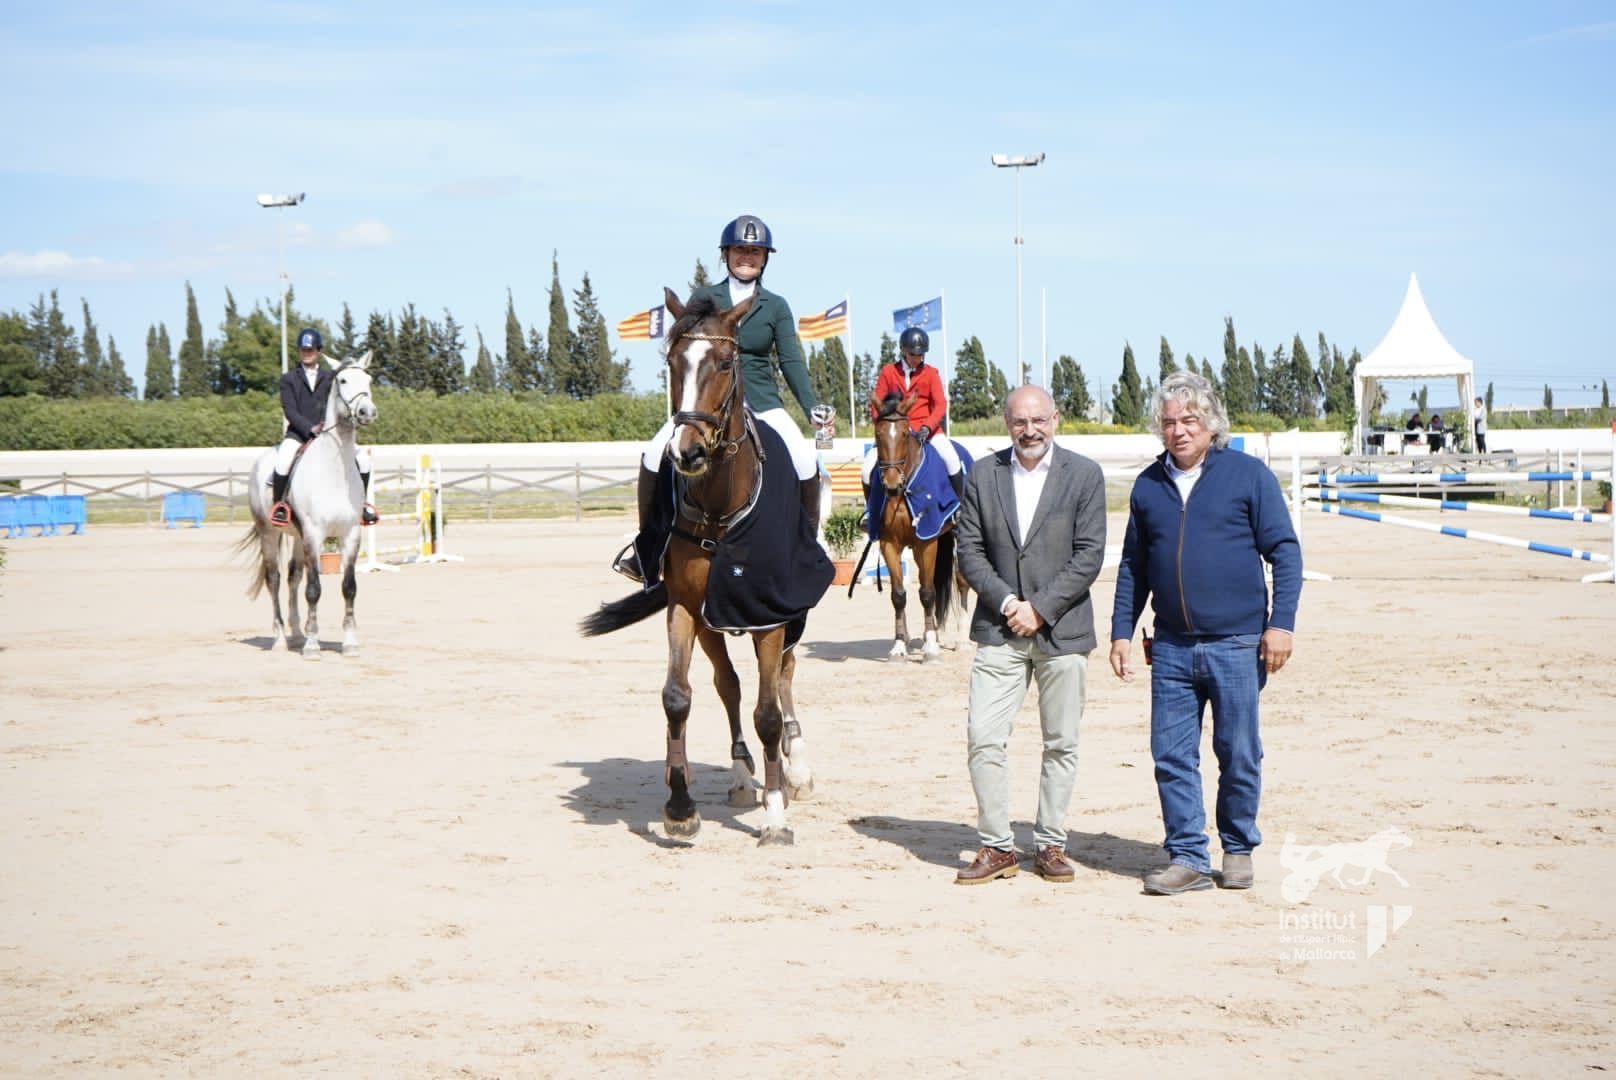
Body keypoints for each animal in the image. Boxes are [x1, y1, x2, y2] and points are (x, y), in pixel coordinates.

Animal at [235, 352, 378, 659]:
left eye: (369, 379)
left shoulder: (350, 534)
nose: (367, 412)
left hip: (298, 537)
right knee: (275, 579)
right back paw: (279, 639)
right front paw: (313, 646)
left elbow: (349, 587)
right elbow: (314, 589)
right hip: (269, 532)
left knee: (293, 577)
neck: (335, 471)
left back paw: (297, 633)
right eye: (343, 380)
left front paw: (349, 643)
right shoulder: (314, 534)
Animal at [575, 291, 814, 847]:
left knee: (783, 679)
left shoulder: (770, 616)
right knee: (729, 686)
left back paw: (794, 770)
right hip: (711, 622)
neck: (720, 506)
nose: (686, 452)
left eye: (725, 363)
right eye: (672, 363)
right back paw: (743, 775)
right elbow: (677, 697)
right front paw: (680, 807)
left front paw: (776, 816)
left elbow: (768, 712)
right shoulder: (686, 606)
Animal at [866, 388, 963, 659]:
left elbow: (927, 593)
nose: (891, 485)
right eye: (877, 435)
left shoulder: (926, 542)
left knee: (960, 582)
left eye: (902, 432)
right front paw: (900, 644)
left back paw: (961, 639)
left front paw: (930, 647)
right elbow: (898, 595)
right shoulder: (889, 543)